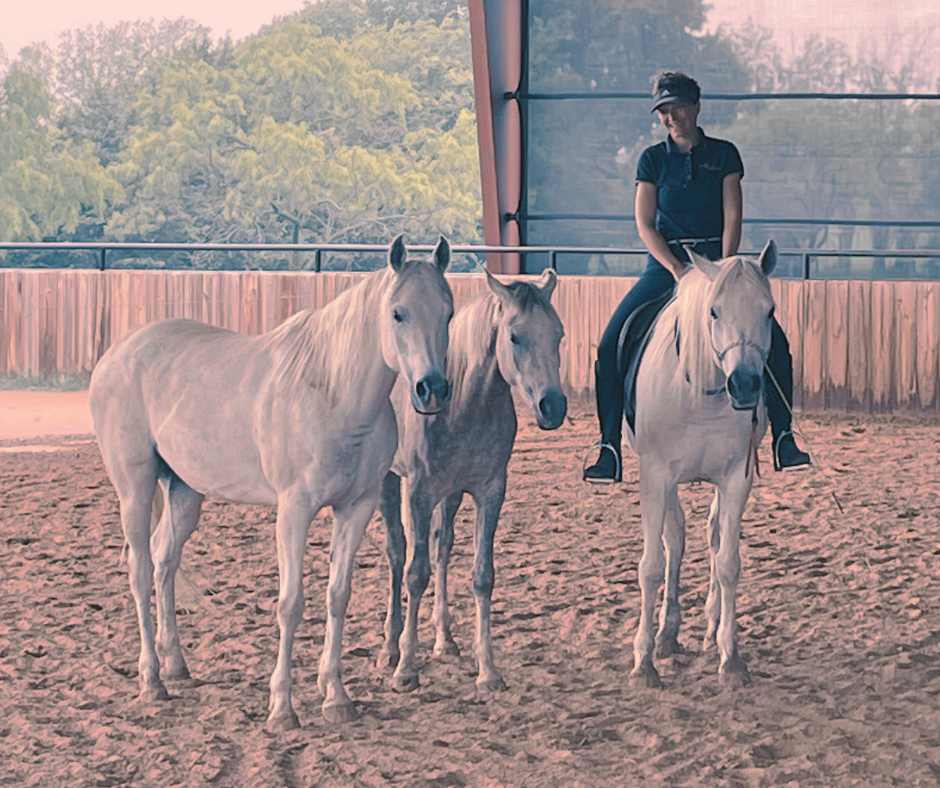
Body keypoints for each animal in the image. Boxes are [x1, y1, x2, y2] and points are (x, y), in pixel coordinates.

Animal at [88, 234, 454, 729]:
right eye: (398, 312)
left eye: (448, 312)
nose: (431, 389)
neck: (333, 392)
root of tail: (116, 355)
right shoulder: (294, 510)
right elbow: (291, 602)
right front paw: (282, 707)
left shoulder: (356, 508)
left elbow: (337, 595)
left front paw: (336, 697)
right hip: (135, 489)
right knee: (140, 568)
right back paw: (152, 681)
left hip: (184, 492)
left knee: (164, 561)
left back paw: (177, 666)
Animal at [377, 267, 567, 692]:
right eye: (514, 336)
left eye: (559, 334)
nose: (553, 406)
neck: (461, 403)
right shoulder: (418, 492)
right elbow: (415, 573)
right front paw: (406, 669)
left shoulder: (489, 491)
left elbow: (482, 576)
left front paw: (488, 671)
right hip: (390, 483)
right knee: (398, 553)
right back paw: (390, 648)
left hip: (450, 495)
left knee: (442, 548)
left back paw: (445, 640)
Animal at [626, 240, 778, 689]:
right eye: (714, 311)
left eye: (769, 311)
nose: (744, 385)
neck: (701, 393)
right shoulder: (655, 476)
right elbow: (652, 566)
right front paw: (644, 662)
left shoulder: (735, 479)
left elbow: (728, 562)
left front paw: (731, 657)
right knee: (674, 539)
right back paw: (666, 636)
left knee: (710, 534)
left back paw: (709, 629)